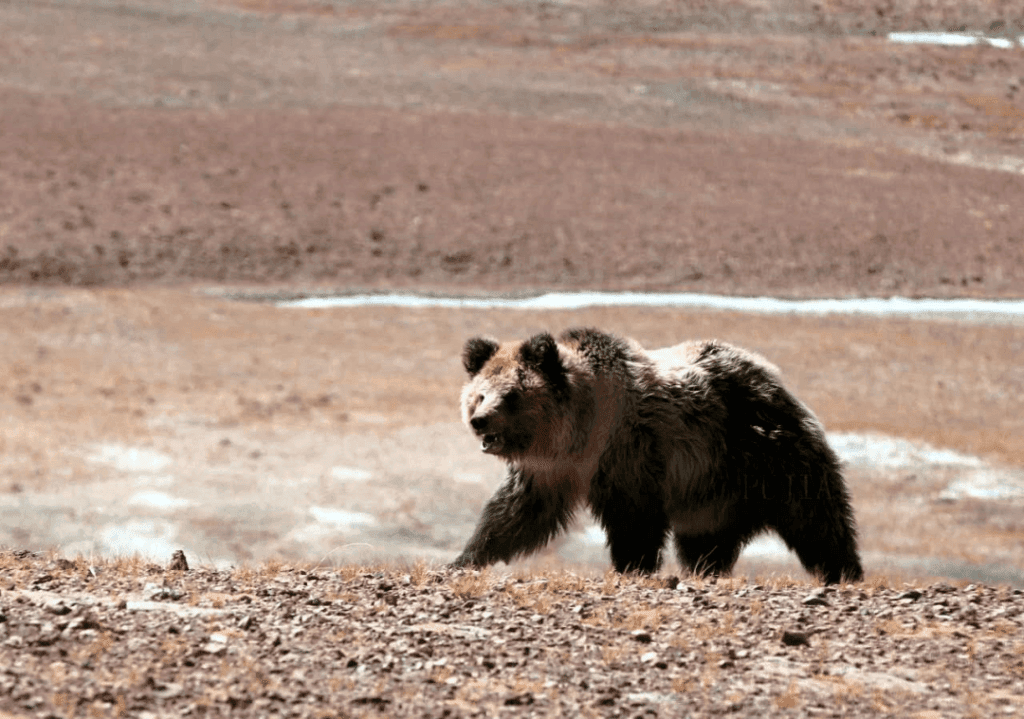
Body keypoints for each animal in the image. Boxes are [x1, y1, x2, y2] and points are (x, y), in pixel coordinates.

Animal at [451, 327, 864, 584]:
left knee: (815, 519)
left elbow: (634, 520)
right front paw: (467, 557)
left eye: (512, 395)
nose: (480, 420)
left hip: (766, 458)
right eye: (480, 393)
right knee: (705, 541)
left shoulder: (627, 454)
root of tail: (772, 378)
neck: (581, 431)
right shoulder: (550, 470)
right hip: (712, 496)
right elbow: (514, 515)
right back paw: (706, 569)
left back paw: (844, 570)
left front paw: (631, 566)